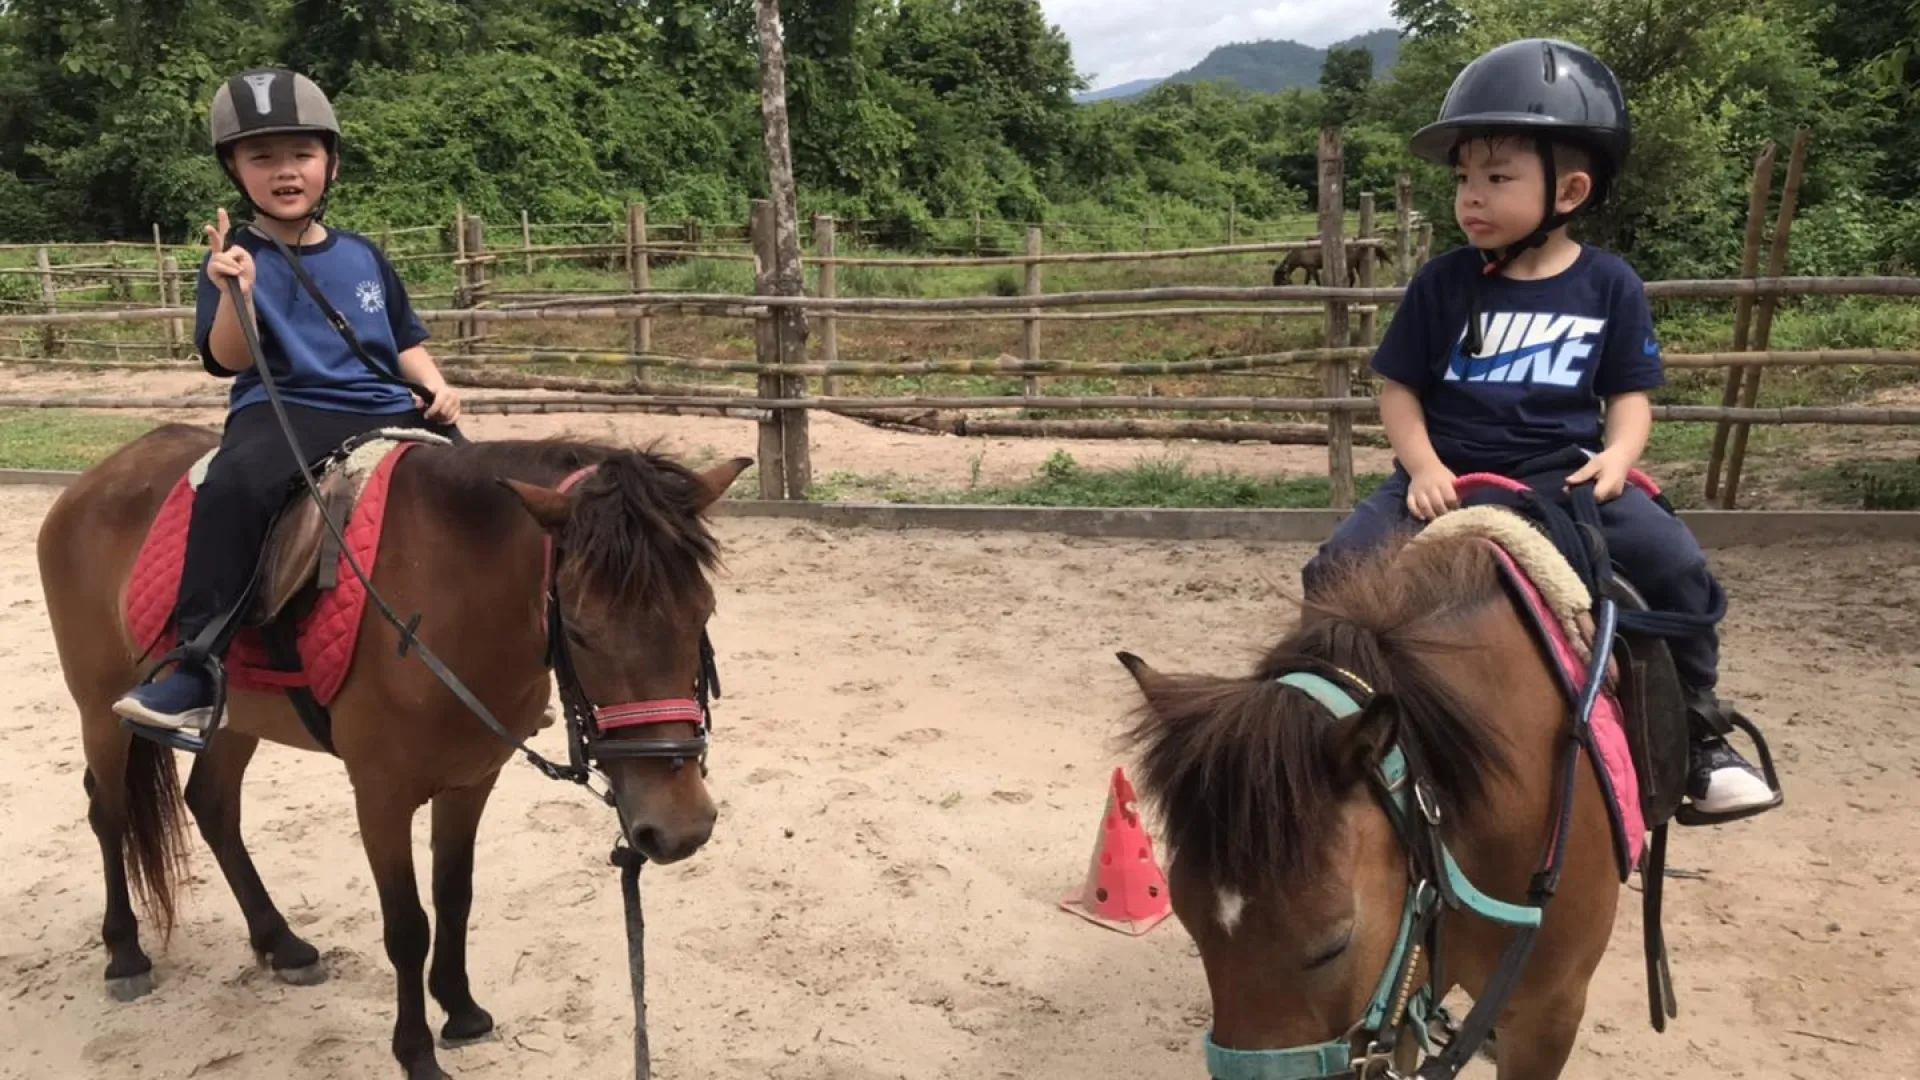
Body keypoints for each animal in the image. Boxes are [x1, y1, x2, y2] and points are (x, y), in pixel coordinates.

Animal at [36, 421, 752, 1080]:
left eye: (703, 613)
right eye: (579, 629)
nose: (680, 826)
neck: (447, 595)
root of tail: (103, 474)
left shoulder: (470, 781)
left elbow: (455, 895)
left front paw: (460, 1010)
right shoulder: (379, 794)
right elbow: (407, 926)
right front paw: (417, 1053)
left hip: (235, 718)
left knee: (211, 805)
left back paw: (281, 943)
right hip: (100, 708)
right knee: (108, 812)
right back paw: (125, 954)